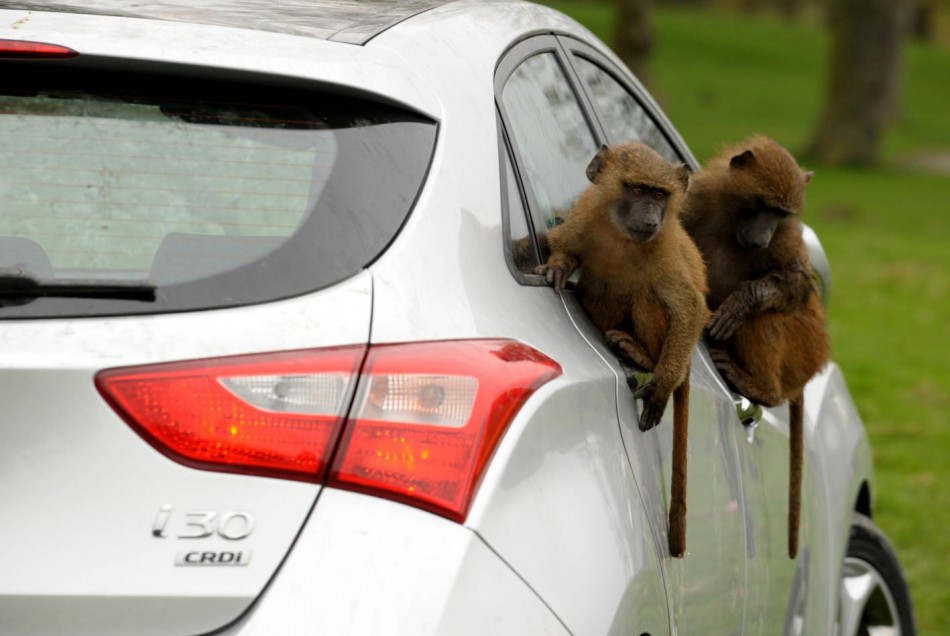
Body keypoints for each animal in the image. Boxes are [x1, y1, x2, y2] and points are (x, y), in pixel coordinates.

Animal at [535, 142, 709, 558]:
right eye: (637, 189)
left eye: (659, 195)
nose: (650, 220)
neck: (620, 237)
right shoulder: (584, 217)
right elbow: (563, 246)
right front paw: (559, 265)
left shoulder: (664, 251)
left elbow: (689, 308)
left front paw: (660, 389)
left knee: (647, 294)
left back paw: (641, 356)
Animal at [682, 135, 831, 559]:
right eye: (762, 206)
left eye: (780, 213)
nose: (761, 238)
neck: (733, 217)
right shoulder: (694, 203)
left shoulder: (786, 237)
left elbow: (797, 285)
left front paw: (742, 302)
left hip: (805, 345)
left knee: (765, 319)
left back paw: (759, 388)